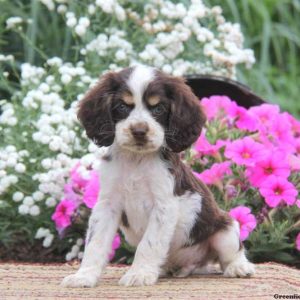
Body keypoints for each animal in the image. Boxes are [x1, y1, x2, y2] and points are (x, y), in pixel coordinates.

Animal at [62, 64, 254, 288]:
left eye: (158, 109)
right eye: (123, 107)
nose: (139, 131)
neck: (136, 160)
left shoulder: (163, 205)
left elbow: (148, 244)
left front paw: (139, 274)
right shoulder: (107, 205)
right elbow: (95, 243)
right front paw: (84, 276)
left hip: (225, 229)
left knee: (232, 253)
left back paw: (239, 267)